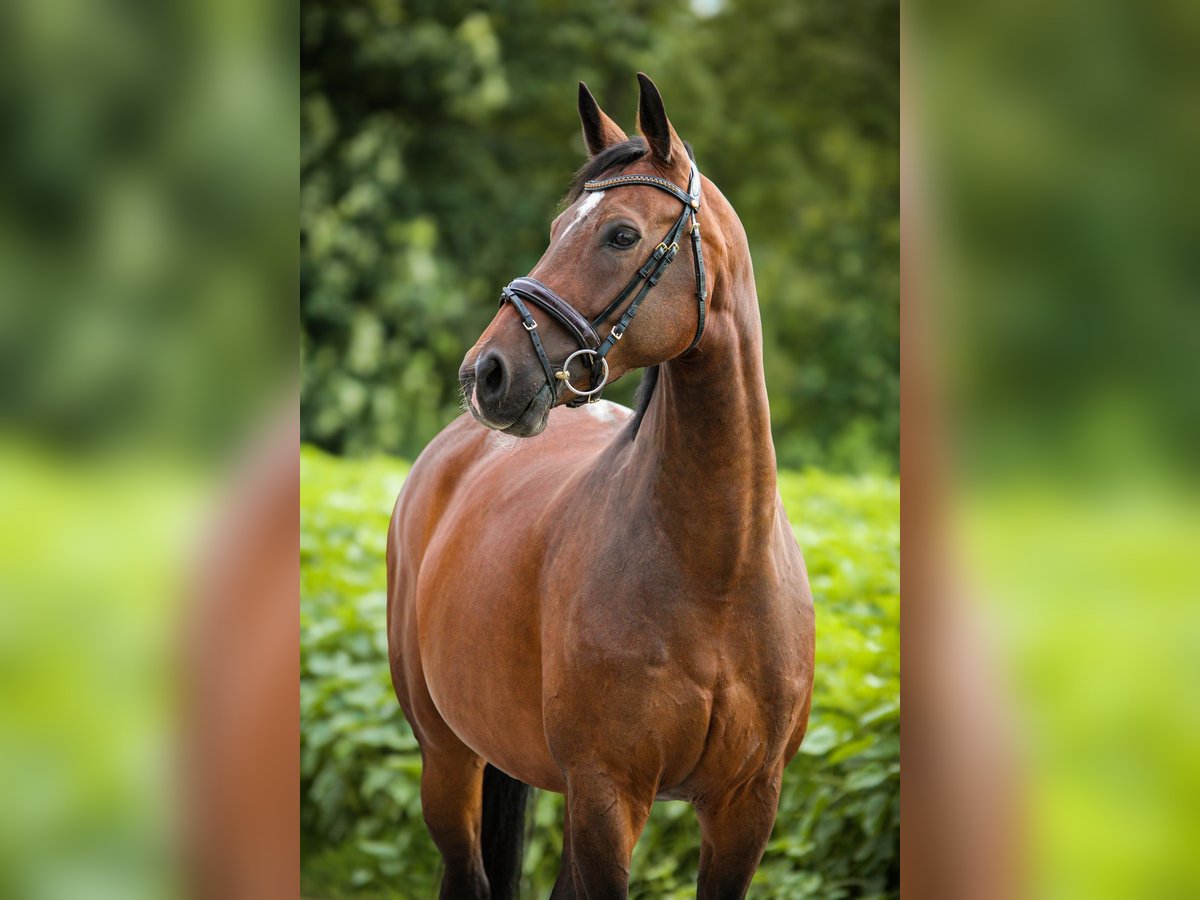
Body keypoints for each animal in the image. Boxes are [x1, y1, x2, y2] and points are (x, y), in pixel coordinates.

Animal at [386, 74, 816, 897]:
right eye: (559, 226)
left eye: (619, 235)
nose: (485, 374)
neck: (716, 570)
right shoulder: (607, 793)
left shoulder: (747, 805)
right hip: (448, 760)